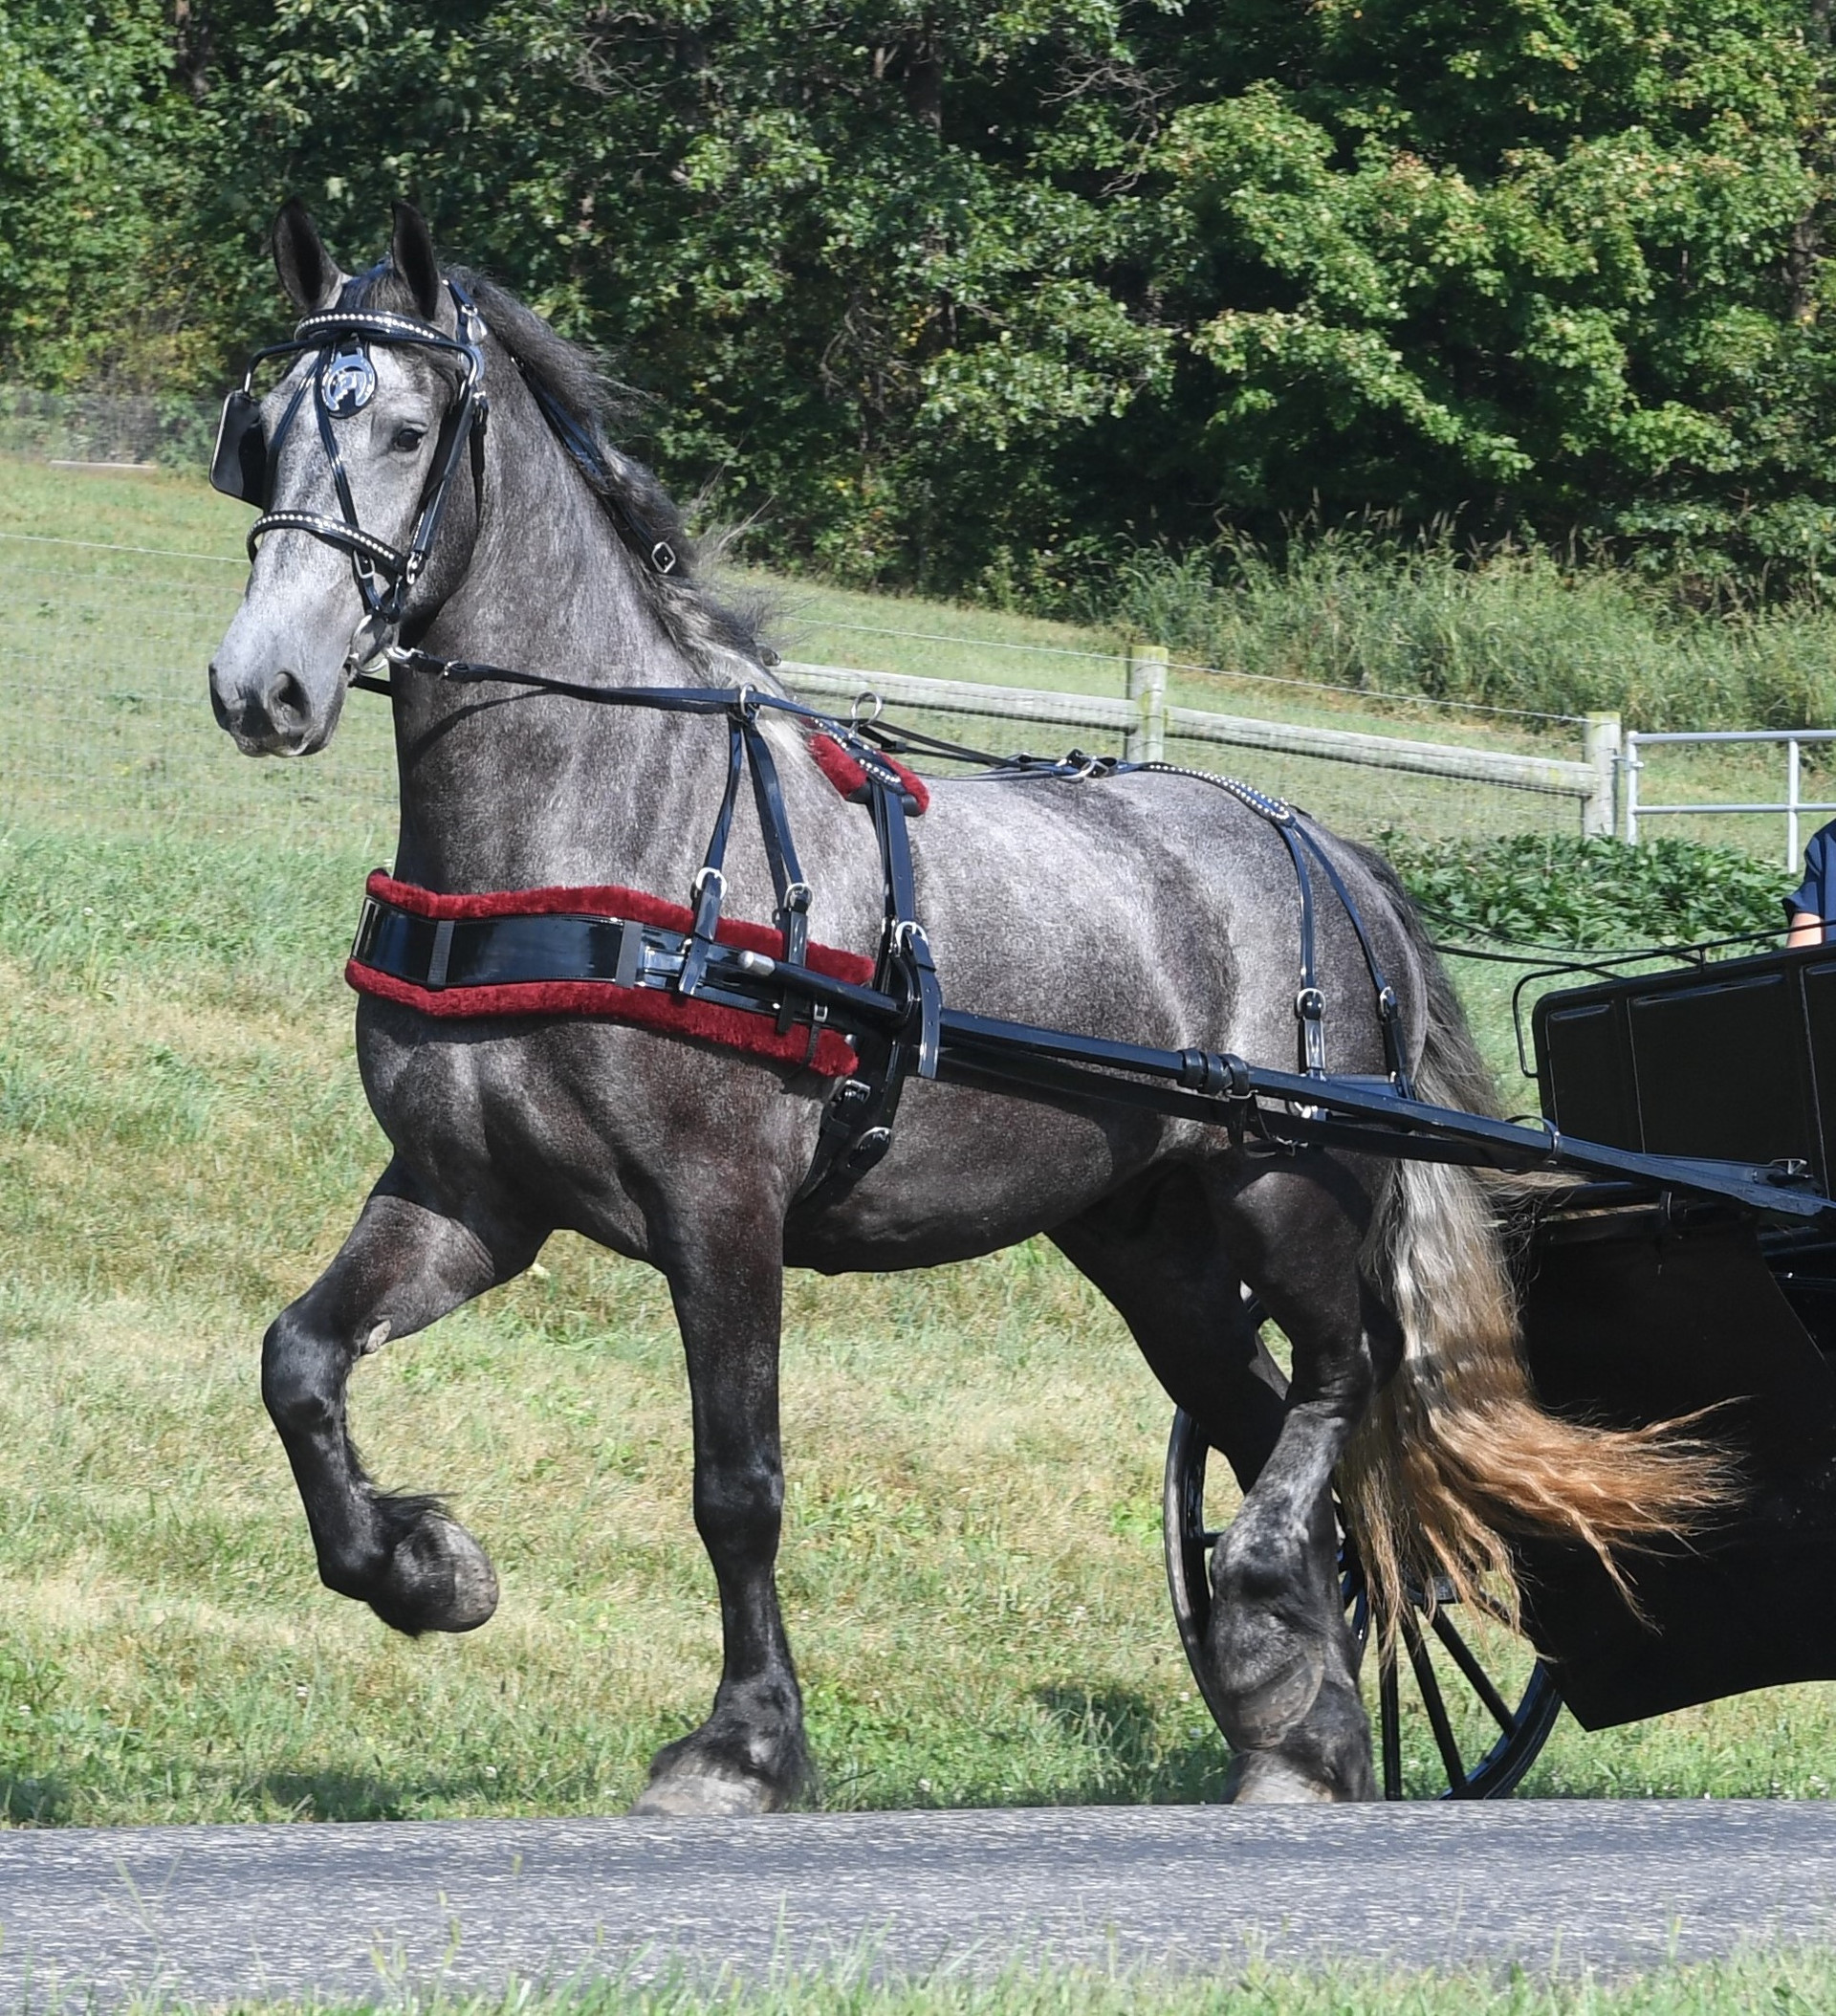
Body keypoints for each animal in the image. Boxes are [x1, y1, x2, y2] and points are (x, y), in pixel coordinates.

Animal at [205, 199, 1719, 1812]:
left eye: (407, 428)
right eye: (265, 429)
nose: (261, 686)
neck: (615, 822)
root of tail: (1326, 845)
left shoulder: (721, 1209)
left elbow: (737, 1486)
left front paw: (745, 1745)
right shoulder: (469, 1196)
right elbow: (298, 1362)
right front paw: (427, 1568)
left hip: (1286, 1192)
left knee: (1340, 1386)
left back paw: (1272, 1636)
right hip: (1149, 1241)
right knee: (1268, 1433)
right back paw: (1298, 1724)